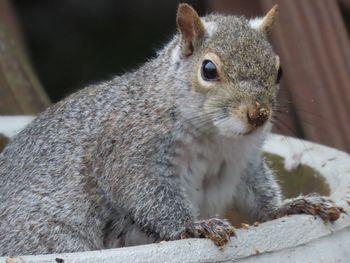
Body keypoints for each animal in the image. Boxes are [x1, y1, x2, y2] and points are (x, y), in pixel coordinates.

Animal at [0, 3, 342, 256]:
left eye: (278, 70)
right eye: (208, 69)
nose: (258, 115)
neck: (218, 138)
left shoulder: (244, 165)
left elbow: (260, 198)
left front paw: (291, 205)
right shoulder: (129, 154)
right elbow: (149, 197)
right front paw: (195, 227)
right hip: (48, 236)